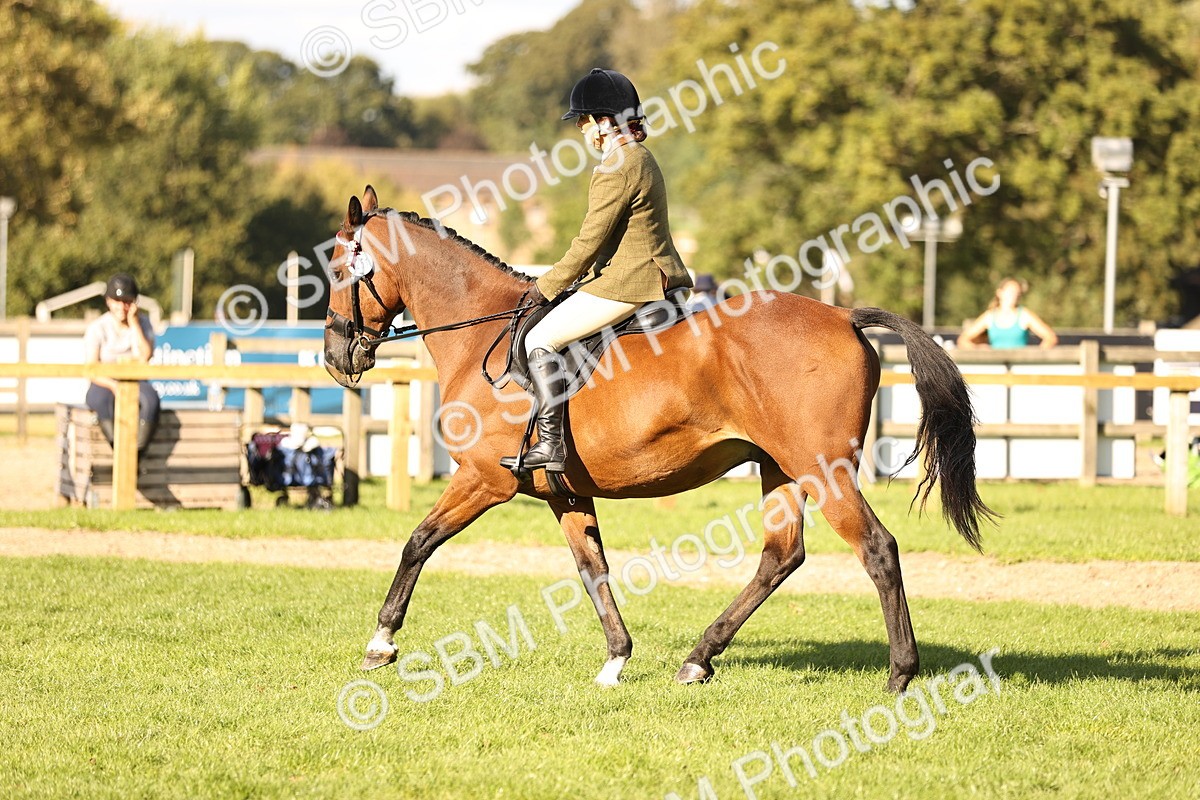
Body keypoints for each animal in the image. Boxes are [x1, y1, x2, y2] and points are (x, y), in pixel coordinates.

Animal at [323, 186, 994, 692]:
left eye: (336, 269)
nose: (334, 356)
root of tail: (843, 314)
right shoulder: (565, 493)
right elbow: (592, 569)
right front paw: (616, 658)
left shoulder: (483, 480)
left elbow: (418, 542)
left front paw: (381, 642)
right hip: (779, 468)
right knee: (782, 555)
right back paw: (699, 659)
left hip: (821, 468)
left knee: (877, 548)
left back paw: (900, 675)